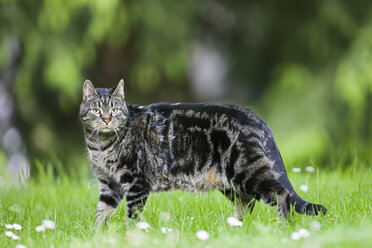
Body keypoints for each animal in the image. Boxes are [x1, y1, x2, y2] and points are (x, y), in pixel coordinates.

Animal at [79, 79, 326, 225]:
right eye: (96, 110)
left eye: (114, 110)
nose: (106, 119)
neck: (100, 146)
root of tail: (255, 116)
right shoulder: (108, 185)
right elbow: (101, 214)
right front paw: (99, 236)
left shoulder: (136, 183)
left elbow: (132, 217)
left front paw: (130, 236)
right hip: (230, 183)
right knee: (247, 204)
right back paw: (236, 229)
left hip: (247, 172)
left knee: (280, 194)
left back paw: (282, 228)